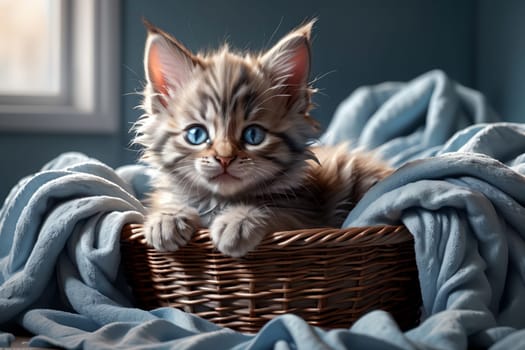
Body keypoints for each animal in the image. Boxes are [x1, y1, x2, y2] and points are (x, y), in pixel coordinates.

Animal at [133, 21, 390, 258]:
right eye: (196, 135)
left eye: (253, 135)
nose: (224, 158)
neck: (219, 202)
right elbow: (167, 199)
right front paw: (166, 217)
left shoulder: (307, 213)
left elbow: (277, 211)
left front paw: (239, 221)